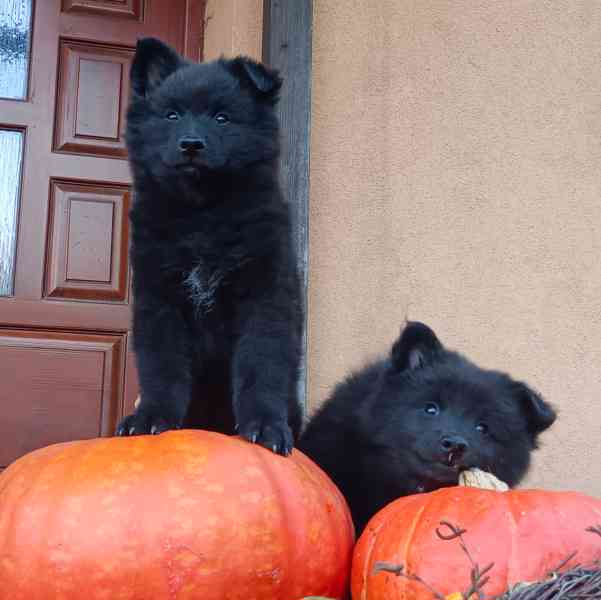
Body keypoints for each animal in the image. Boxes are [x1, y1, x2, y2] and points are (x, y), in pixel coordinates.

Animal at [116, 37, 304, 454]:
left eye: (221, 118)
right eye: (171, 115)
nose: (191, 144)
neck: (202, 214)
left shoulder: (265, 297)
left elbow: (260, 364)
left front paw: (265, 427)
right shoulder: (159, 300)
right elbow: (162, 366)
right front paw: (151, 418)